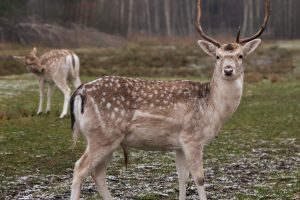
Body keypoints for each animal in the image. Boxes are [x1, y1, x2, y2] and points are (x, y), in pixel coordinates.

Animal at [69, 0, 270, 198]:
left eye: (240, 56)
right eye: (217, 56)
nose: (228, 70)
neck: (213, 109)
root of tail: (81, 91)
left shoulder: (179, 145)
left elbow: (182, 177)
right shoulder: (192, 137)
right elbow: (199, 178)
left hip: (108, 139)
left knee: (97, 172)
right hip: (103, 134)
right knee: (80, 168)